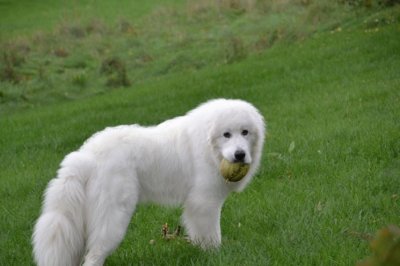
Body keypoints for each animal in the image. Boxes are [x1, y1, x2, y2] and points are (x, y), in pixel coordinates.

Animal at [32, 99, 264, 266]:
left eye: (245, 132)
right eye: (226, 135)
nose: (240, 155)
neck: (209, 148)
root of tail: (87, 155)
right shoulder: (204, 203)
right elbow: (212, 235)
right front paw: (216, 256)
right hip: (113, 219)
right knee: (93, 257)